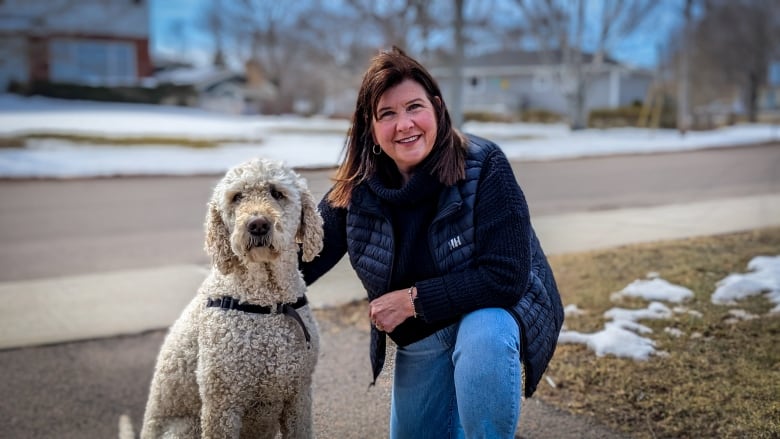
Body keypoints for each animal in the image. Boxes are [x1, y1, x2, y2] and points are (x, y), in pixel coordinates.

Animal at [140, 159, 322, 439]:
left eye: (277, 193)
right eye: (237, 197)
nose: (257, 224)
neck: (267, 302)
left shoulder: (299, 397)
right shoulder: (222, 405)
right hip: (184, 428)